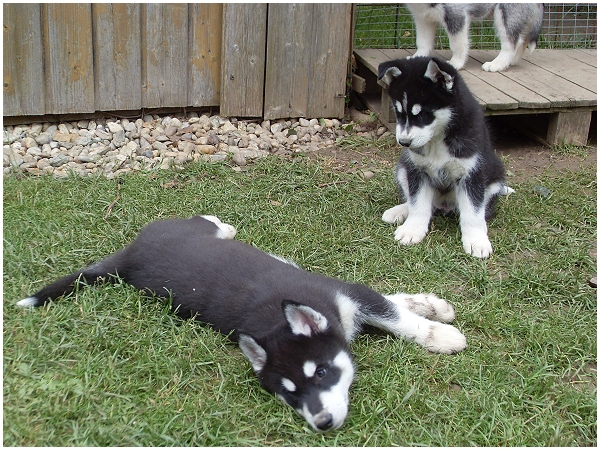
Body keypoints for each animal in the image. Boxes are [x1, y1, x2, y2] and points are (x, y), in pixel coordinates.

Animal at [17, 215, 467, 431]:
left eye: (321, 373)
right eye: (289, 395)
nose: (321, 424)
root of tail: (129, 255)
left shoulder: (349, 293)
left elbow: (398, 313)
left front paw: (438, 323)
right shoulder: (343, 299)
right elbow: (396, 311)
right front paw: (439, 323)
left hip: (185, 230)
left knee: (204, 220)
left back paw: (224, 223)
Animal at [378, 56, 514, 258]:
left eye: (423, 114)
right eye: (399, 113)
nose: (404, 142)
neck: (437, 139)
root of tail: (444, 205)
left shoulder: (472, 172)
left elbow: (473, 211)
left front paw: (476, 241)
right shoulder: (417, 169)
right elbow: (417, 203)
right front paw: (412, 229)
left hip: (495, 174)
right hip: (403, 167)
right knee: (417, 202)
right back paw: (399, 211)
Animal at [406, 3, 544, 72]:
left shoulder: (456, 16)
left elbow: (457, 45)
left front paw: (455, 63)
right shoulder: (423, 18)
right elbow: (423, 42)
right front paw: (418, 56)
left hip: (506, 13)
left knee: (511, 42)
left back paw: (497, 64)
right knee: (522, 39)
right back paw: (512, 61)